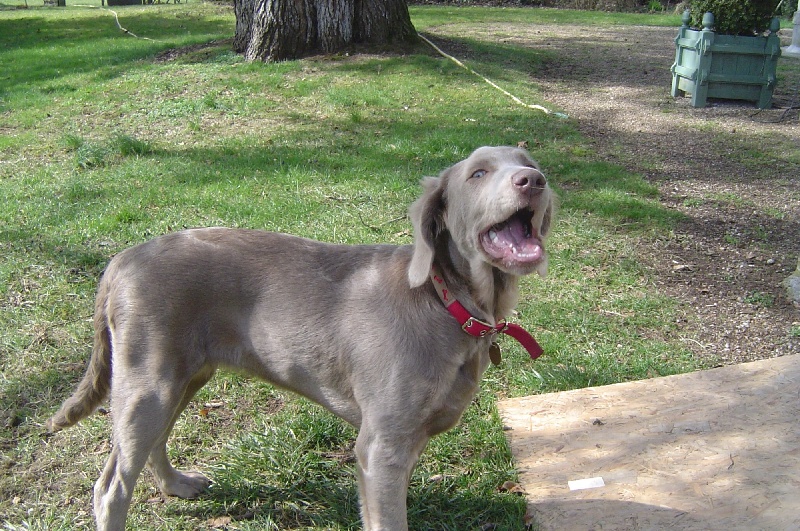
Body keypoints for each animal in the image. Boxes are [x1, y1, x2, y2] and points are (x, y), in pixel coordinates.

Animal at [46, 145, 555, 531]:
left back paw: (178, 485)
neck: (448, 301)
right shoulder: (381, 446)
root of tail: (121, 260)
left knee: (154, 442)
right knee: (110, 487)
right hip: (147, 382)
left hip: (182, 376)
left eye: (527, 160)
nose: (534, 180)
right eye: (478, 173)